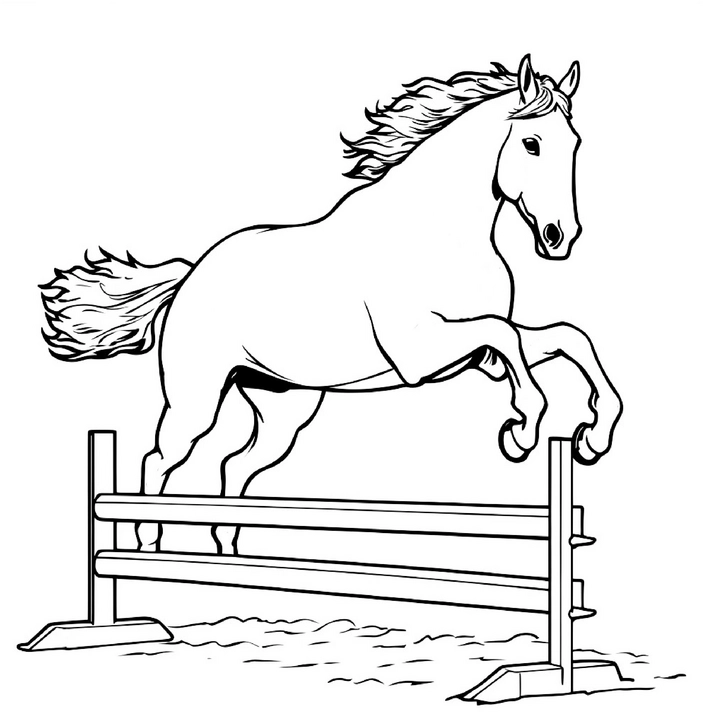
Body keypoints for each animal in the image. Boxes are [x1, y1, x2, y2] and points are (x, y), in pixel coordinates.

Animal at [41, 55, 622, 554]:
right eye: (531, 143)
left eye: (574, 143)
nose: (560, 237)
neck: (439, 235)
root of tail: (191, 277)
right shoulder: (422, 351)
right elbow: (508, 340)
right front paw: (522, 431)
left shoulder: (473, 356)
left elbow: (563, 337)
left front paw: (591, 438)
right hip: (195, 398)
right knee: (160, 459)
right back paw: (148, 546)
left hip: (284, 409)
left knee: (235, 467)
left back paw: (233, 560)